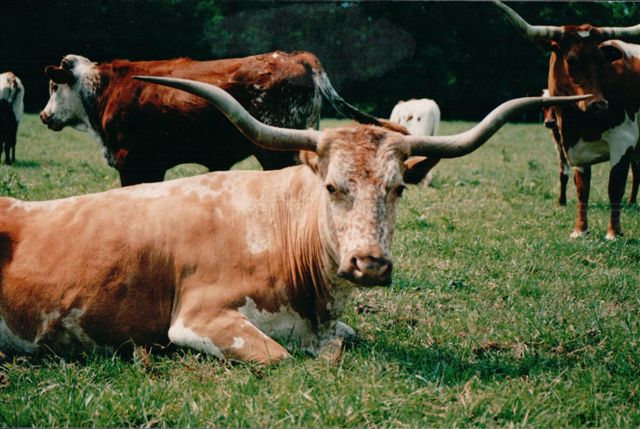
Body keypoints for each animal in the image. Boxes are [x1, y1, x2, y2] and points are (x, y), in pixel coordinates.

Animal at [0, 75, 585, 363]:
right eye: (331, 187)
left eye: (397, 188)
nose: (369, 264)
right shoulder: (199, 318)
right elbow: (289, 357)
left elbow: (345, 339)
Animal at [39, 52, 389, 186]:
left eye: (54, 86)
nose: (43, 115)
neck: (104, 89)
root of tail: (297, 56)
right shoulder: (152, 166)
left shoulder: (132, 163)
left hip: (277, 150)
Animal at [493, 0, 640, 239]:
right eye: (571, 59)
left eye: (601, 60)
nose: (599, 104)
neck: (578, 123)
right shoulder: (575, 146)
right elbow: (582, 188)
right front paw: (580, 230)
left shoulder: (624, 141)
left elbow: (615, 187)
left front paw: (613, 233)